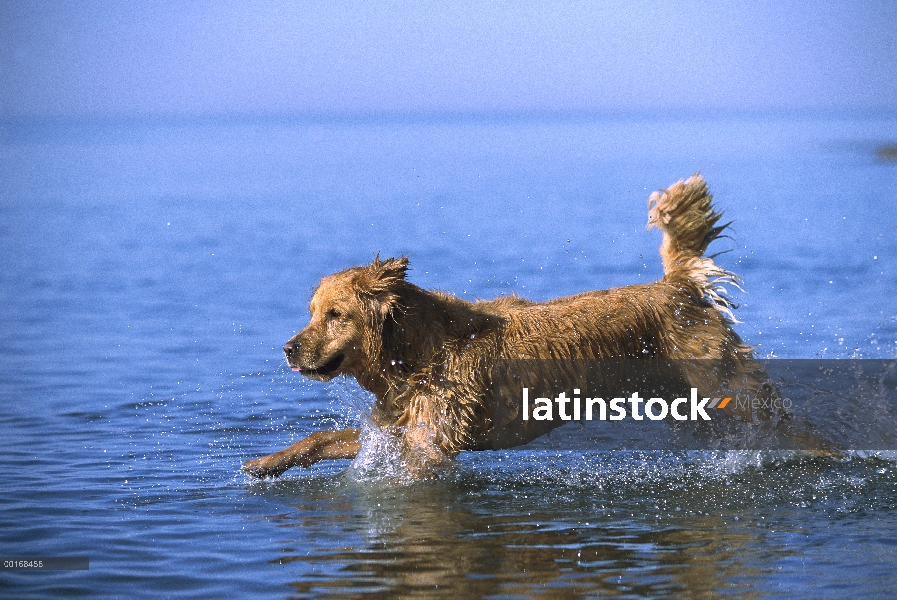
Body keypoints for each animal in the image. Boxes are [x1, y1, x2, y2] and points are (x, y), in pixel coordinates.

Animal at [242, 173, 752, 478]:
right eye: (311, 311)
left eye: (336, 315)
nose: (288, 348)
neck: (414, 351)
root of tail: (677, 286)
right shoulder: (397, 423)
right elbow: (320, 437)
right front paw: (265, 462)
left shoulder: (430, 441)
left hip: (719, 379)